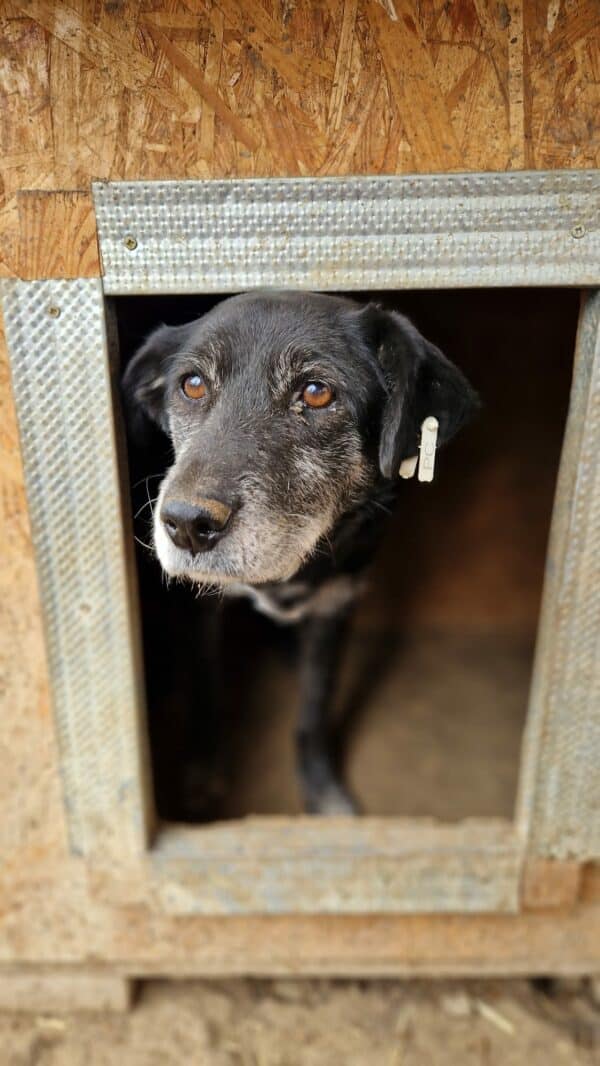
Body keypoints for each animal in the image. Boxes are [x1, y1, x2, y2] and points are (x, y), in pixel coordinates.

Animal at [123, 292, 479, 814]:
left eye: (315, 392)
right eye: (192, 384)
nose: (186, 525)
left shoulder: (335, 605)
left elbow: (314, 707)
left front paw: (321, 788)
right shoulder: (201, 608)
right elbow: (206, 687)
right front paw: (205, 770)